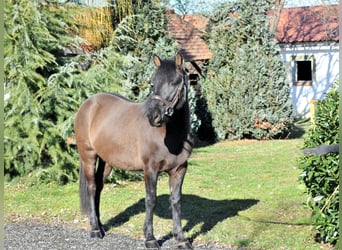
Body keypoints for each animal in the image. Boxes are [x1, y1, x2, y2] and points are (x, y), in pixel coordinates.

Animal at [74, 52, 194, 248]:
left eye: (175, 82)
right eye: (153, 83)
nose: (154, 116)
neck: (173, 135)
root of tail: (89, 103)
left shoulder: (179, 169)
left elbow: (176, 201)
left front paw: (181, 239)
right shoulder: (150, 169)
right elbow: (151, 200)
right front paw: (150, 238)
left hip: (107, 161)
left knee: (99, 187)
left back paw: (100, 225)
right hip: (88, 156)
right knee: (92, 187)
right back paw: (94, 230)